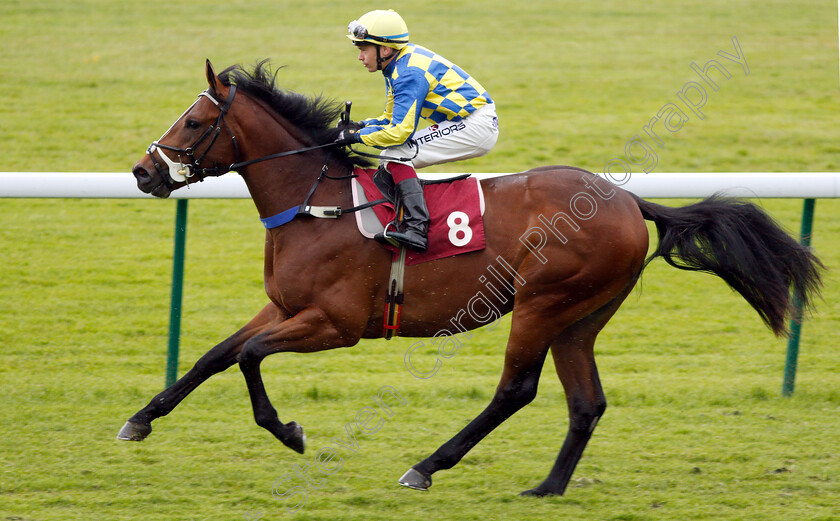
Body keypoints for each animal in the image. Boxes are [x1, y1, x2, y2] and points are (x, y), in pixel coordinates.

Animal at [123, 61, 820, 496]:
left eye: (193, 122)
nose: (143, 172)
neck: (315, 201)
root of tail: (628, 202)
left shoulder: (335, 324)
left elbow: (250, 358)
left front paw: (290, 433)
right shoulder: (285, 307)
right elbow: (216, 355)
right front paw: (140, 420)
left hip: (543, 303)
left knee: (517, 389)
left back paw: (426, 466)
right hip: (581, 317)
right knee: (586, 402)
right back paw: (548, 487)